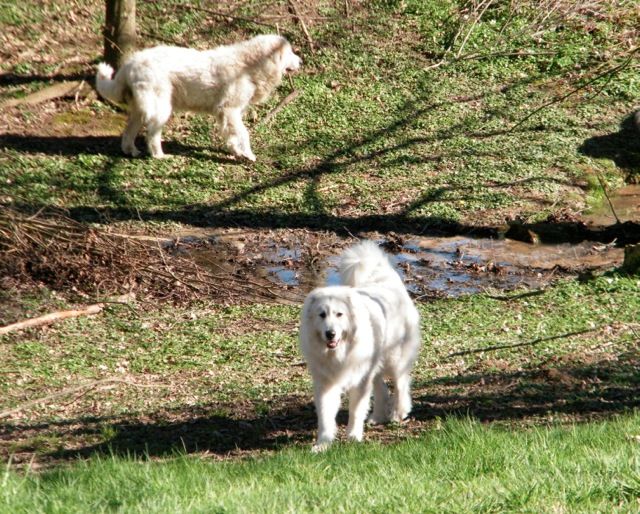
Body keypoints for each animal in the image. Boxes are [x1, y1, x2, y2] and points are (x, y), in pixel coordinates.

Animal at [95, 35, 302, 159]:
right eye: (290, 53)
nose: (301, 61)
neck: (248, 65)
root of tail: (130, 63)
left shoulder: (226, 114)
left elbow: (231, 135)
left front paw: (235, 151)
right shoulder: (230, 111)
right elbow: (244, 133)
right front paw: (248, 155)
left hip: (140, 110)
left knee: (129, 132)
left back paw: (131, 151)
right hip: (161, 109)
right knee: (152, 133)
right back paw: (159, 155)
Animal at [298, 240, 420, 448]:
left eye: (339, 314)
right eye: (322, 315)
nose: (330, 334)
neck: (339, 353)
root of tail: (386, 279)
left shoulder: (360, 382)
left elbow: (355, 411)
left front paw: (354, 437)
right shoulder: (326, 383)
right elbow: (325, 415)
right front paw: (323, 444)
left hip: (394, 360)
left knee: (401, 383)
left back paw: (399, 413)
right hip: (374, 365)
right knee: (381, 388)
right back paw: (378, 416)